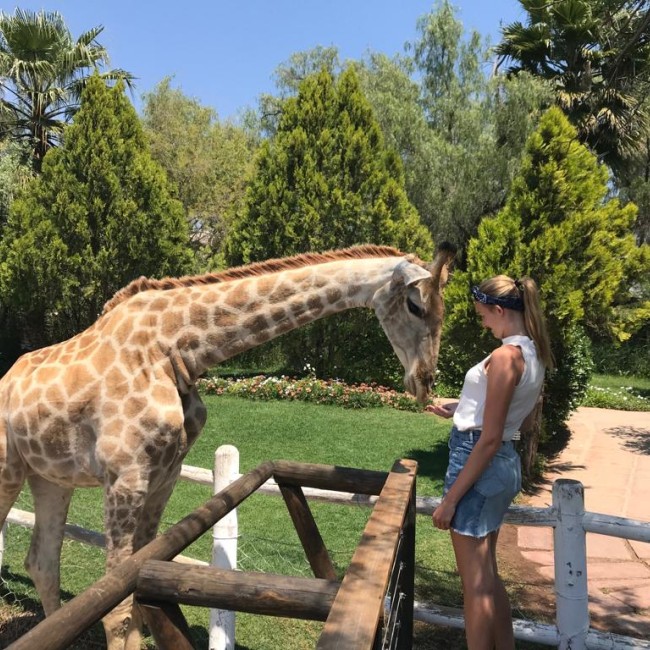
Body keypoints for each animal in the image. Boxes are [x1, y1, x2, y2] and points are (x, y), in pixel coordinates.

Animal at [0, 243, 454, 649]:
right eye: (415, 305)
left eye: (444, 309)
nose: (425, 382)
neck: (178, 350)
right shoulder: (125, 476)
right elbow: (117, 606)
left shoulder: (163, 475)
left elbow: (134, 595)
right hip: (9, 471)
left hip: (50, 477)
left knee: (41, 563)